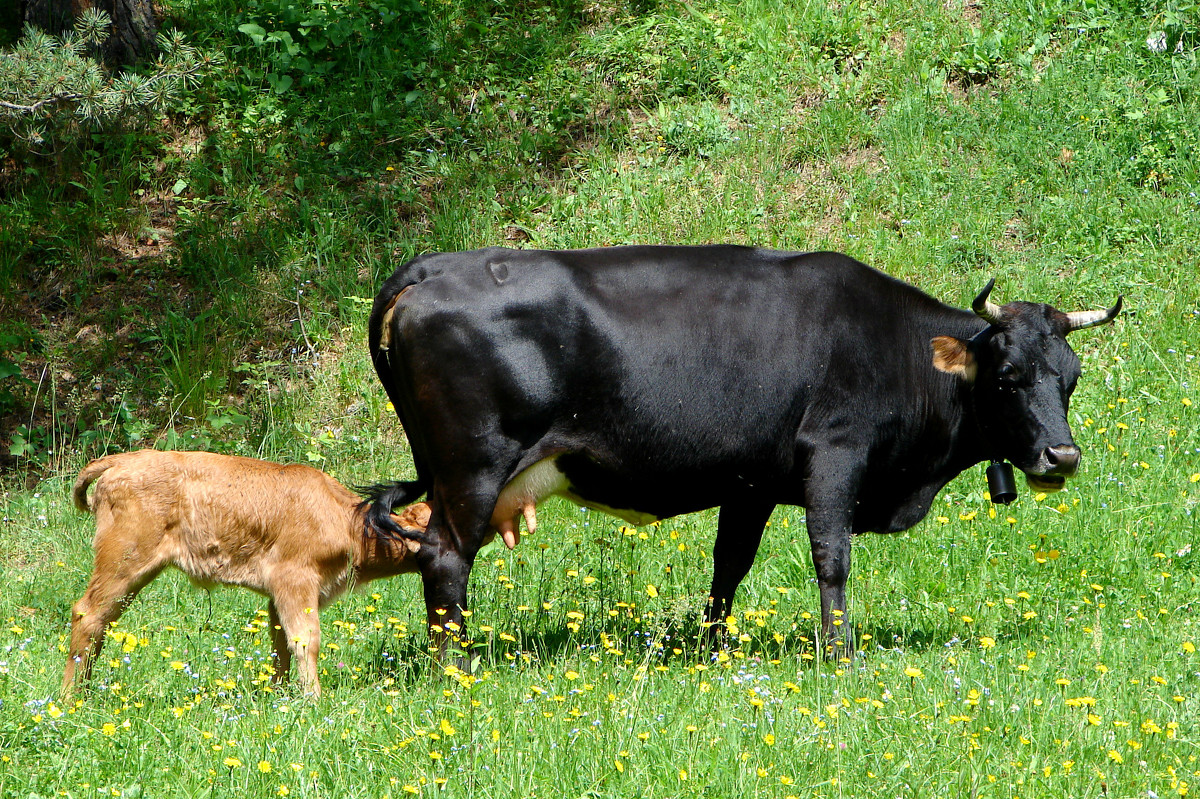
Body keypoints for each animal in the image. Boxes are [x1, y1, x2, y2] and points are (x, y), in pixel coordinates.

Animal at [63, 448, 432, 695]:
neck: (348, 521)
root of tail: (123, 460)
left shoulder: (278, 596)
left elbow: (280, 642)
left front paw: (279, 694)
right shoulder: (294, 581)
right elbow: (305, 639)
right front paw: (313, 698)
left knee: (102, 622)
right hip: (124, 563)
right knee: (88, 614)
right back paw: (71, 698)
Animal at [360, 245, 1118, 652]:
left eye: (1071, 377)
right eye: (1008, 374)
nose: (1062, 457)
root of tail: (434, 267)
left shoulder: (751, 483)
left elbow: (730, 566)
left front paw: (713, 650)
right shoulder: (833, 455)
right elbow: (832, 558)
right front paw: (839, 654)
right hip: (473, 468)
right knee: (444, 558)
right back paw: (455, 664)